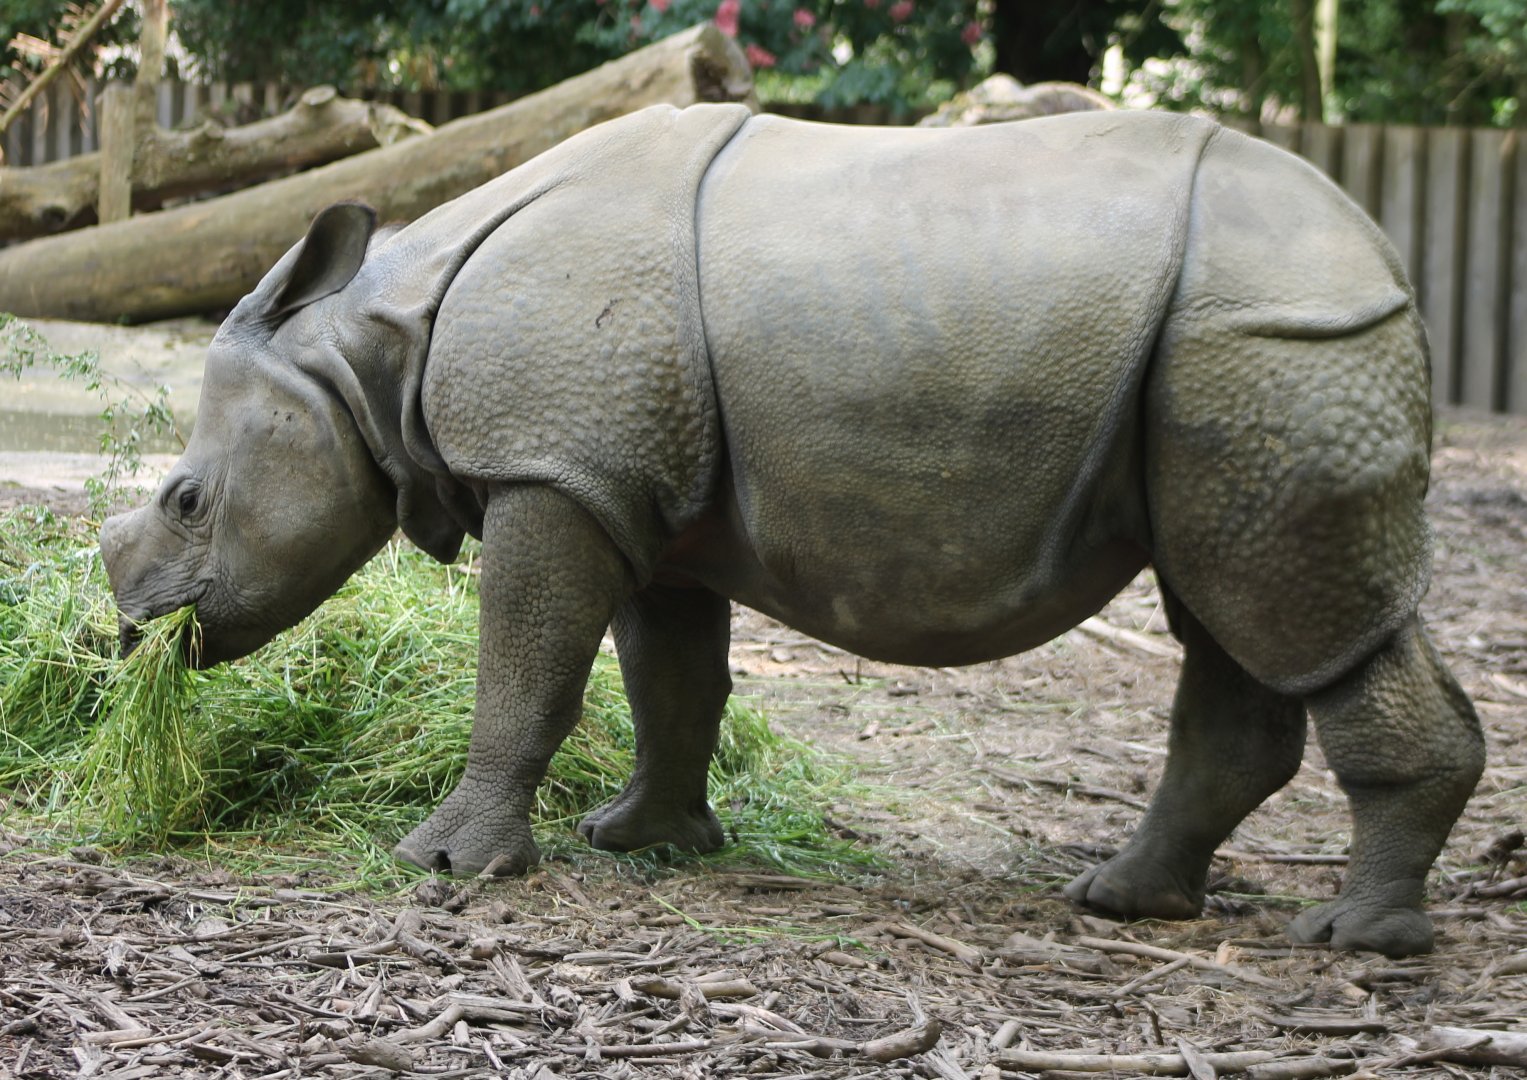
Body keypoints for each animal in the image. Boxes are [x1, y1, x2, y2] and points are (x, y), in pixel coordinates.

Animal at [99, 102, 1484, 957]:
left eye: (187, 503)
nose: (125, 634)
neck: (368, 348)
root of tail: (1384, 254)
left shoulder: (555, 469)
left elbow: (525, 670)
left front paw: (444, 866)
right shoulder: (628, 485)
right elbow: (668, 680)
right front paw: (645, 841)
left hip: (1276, 342)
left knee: (1295, 616)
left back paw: (1348, 941)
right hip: (1239, 356)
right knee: (1236, 612)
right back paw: (1126, 903)